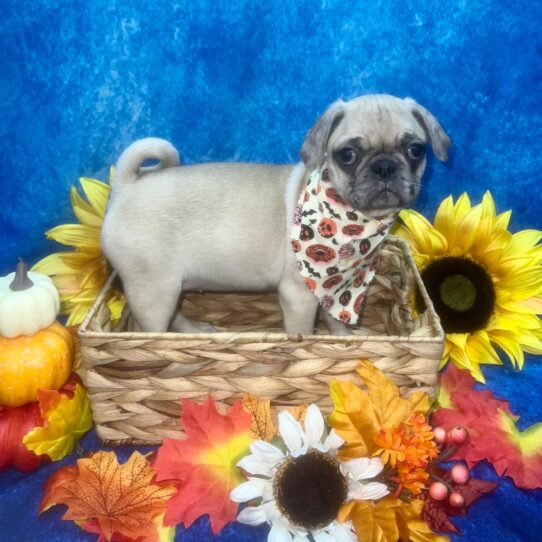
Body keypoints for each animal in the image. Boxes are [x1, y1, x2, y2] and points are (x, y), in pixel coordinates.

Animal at [102, 95, 450, 338]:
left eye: (415, 150)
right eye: (348, 155)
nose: (384, 167)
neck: (353, 221)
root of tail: (127, 186)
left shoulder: (334, 288)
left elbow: (333, 319)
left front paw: (344, 337)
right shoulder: (300, 296)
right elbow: (304, 332)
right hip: (154, 291)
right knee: (149, 329)